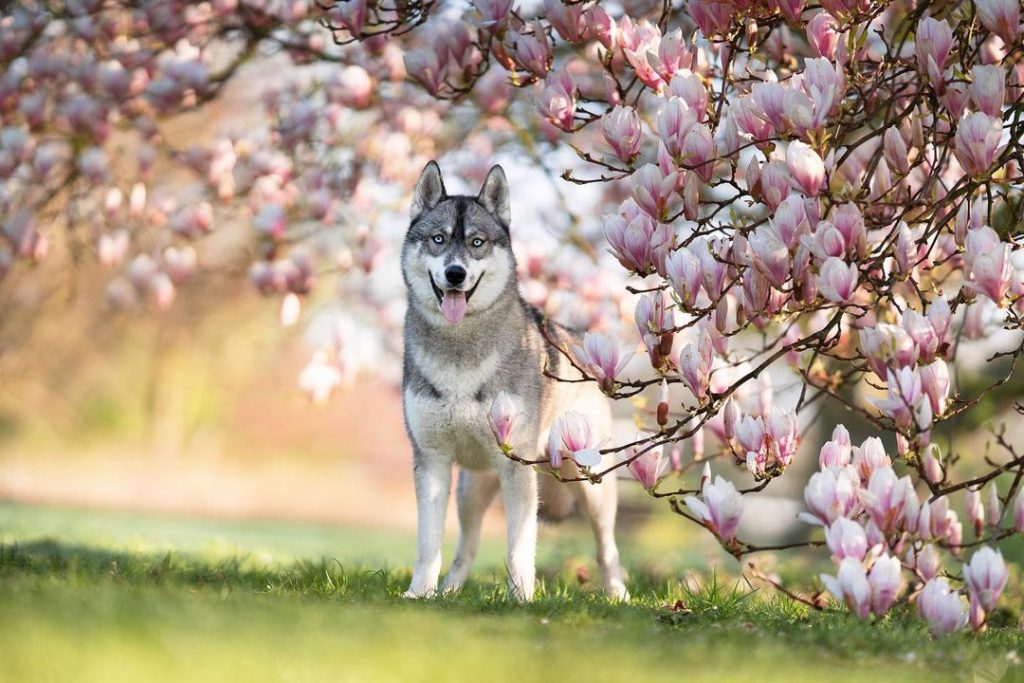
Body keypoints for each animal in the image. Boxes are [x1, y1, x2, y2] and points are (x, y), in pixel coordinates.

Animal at [401, 162, 626, 602]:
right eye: (438, 239)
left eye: (477, 242)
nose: (455, 274)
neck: (460, 353)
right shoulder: (432, 462)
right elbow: (428, 544)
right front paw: (420, 594)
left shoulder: (517, 469)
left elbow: (519, 548)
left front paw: (520, 599)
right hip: (471, 490)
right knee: (466, 547)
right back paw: (450, 591)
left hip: (590, 485)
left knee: (607, 549)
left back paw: (618, 596)